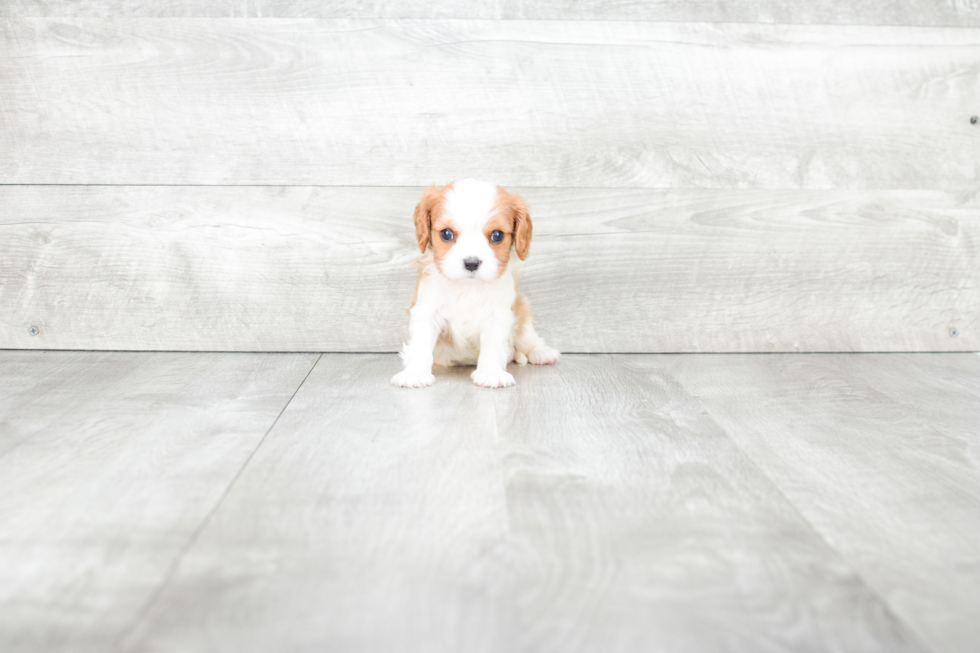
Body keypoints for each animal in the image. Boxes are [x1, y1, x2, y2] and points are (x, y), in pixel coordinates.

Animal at [390, 178, 560, 388]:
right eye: (446, 234)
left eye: (497, 235)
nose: (471, 263)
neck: (467, 288)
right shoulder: (427, 310)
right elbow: (420, 345)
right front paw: (415, 373)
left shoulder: (498, 315)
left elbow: (493, 346)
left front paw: (491, 373)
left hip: (522, 310)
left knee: (528, 337)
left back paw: (542, 353)